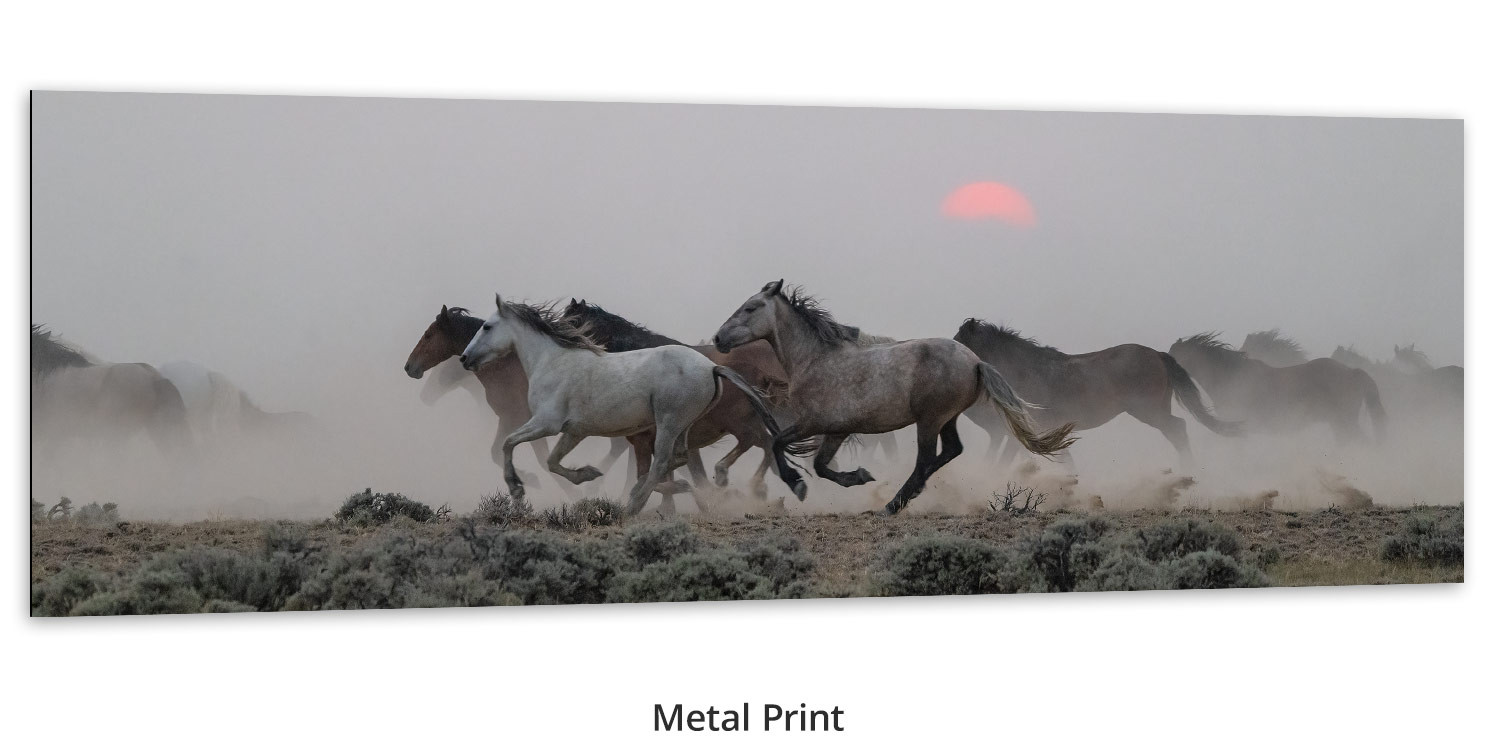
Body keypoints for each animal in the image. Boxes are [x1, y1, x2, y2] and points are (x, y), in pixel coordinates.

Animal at [712, 280, 1076, 515]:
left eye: (751, 307)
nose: (718, 339)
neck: (815, 359)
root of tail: (976, 362)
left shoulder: (814, 424)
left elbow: (781, 446)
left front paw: (800, 485)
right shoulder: (836, 431)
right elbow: (820, 465)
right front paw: (857, 477)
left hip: (929, 420)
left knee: (926, 459)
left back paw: (892, 504)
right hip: (947, 418)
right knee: (951, 451)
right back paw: (906, 494)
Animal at [954, 319, 1239, 471]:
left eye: (960, 341)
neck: (1027, 369)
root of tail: (1159, 356)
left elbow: (1005, 460)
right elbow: (1064, 459)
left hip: (1149, 411)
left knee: (1178, 429)